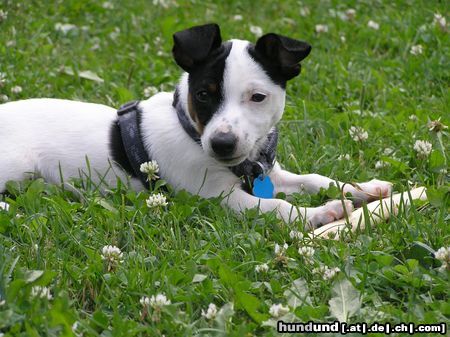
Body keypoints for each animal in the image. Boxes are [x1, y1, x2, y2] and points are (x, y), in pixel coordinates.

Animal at [0, 23, 390, 228]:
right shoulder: (219, 197)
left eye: (258, 97)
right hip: (17, 165)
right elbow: (277, 207)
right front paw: (324, 211)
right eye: (203, 94)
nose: (222, 144)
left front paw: (365, 188)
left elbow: (316, 179)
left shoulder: (272, 174)